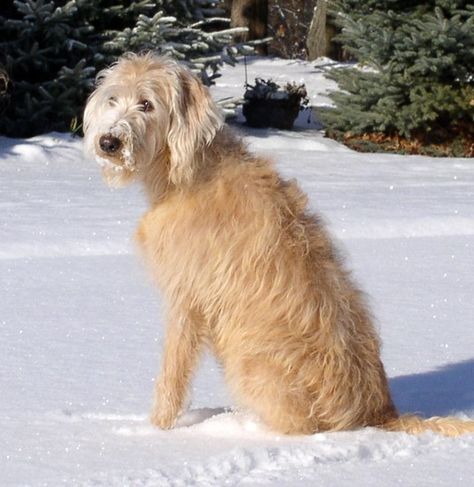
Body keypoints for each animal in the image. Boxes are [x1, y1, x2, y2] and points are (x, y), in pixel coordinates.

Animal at [84, 53, 474, 438]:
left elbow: (173, 369)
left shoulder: (187, 297)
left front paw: (157, 427)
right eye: (113, 99)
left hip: (250, 364)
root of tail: (379, 414)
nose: (108, 142)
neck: (186, 172)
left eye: (147, 104)